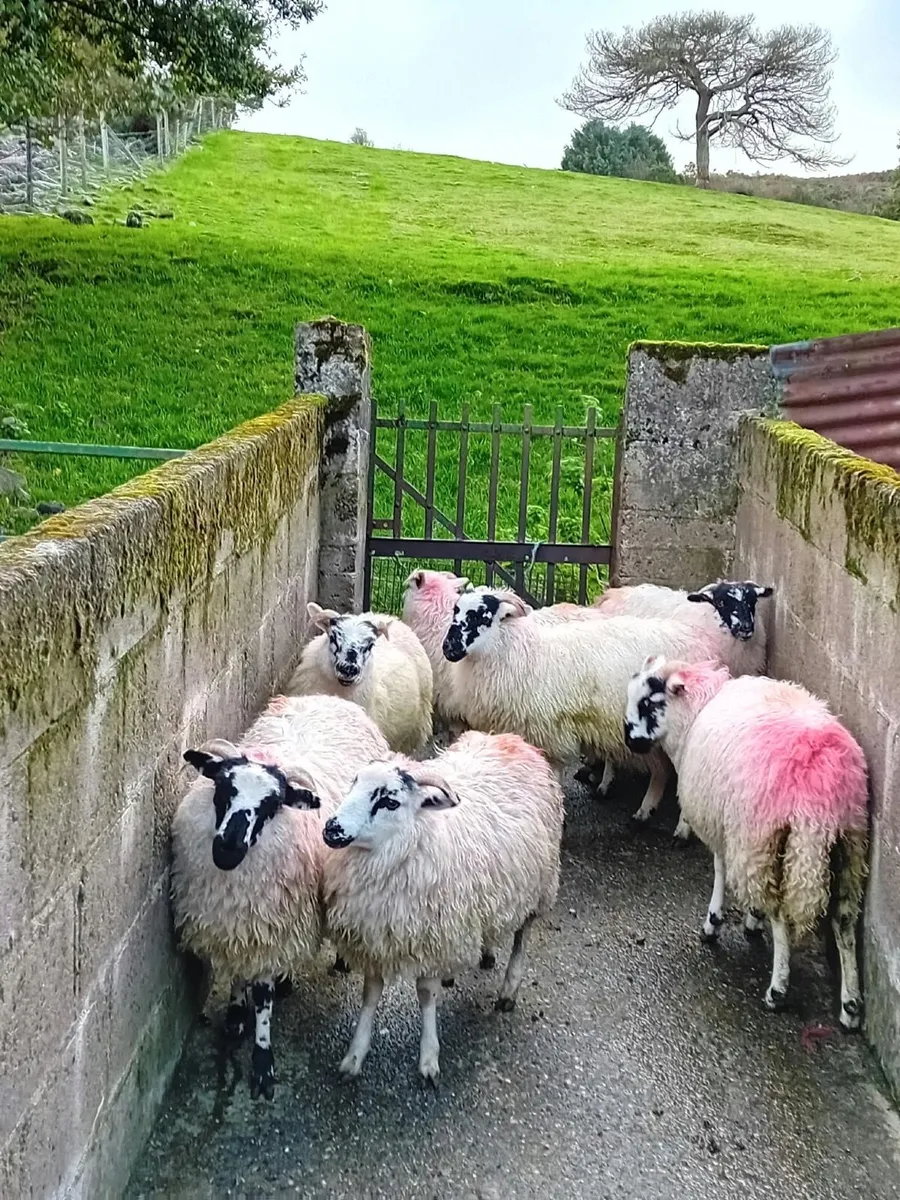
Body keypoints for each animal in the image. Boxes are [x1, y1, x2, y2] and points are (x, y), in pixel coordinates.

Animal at [171, 693, 391, 1099]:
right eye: (222, 790)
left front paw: (262, 1062)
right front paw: (235, 1016)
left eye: (271, 805)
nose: (227, 849)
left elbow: (262, 996)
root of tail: (327, 697)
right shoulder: (237, 927)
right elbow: (239, 974)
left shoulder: (272, 927)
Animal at [321, 730, 564, 1082]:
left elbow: (426, 995)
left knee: (522, 935)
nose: (331, 829)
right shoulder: (376, 937)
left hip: (539, 886)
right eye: (354, 784)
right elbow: (370, 994)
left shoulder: (432, 939)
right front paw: (354, 1056)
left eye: (389, 801)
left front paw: (428, 1058)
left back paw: (509, 989)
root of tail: (513, 740)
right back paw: (484, 954)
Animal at [442, 585, 727, 827]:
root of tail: (700, 642)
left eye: (481, 616)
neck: (523, 653)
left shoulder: (551, 735)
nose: (449, 648)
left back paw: (666, 820)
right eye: (456, 609)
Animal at [623, 656, 869, 1027]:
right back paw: (850, 1006)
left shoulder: (726, 824)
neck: (696, 710)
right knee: (844, 919)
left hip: (757, 832)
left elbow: (720, 869)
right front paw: (751, 917)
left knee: (781, 914)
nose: (628, 740)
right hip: (848, 844)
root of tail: (819, 787)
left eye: (649, 703)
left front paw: (716, 922)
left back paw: (777, 990)